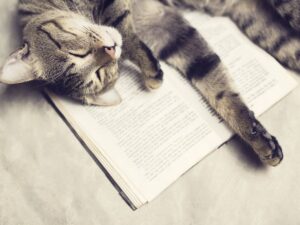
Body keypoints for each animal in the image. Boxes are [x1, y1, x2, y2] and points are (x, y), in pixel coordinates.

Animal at [1, 0, 298, 166]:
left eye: (78, 54)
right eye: (99, 74)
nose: (110, 50)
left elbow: (123, 28)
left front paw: (150, 71)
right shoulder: (164, 27)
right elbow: (219, 86)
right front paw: (257, 136)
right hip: (275, 36)